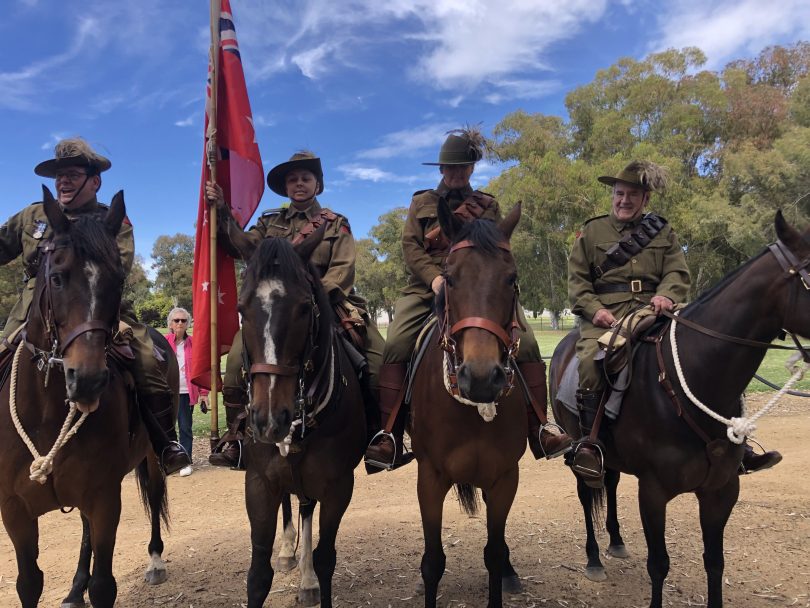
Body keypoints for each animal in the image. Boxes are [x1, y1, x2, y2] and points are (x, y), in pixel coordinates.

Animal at [0, 190, 170, 608]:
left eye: (119, 279)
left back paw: (155, 560)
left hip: (152, 459)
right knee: (85, 531)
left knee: (154, 495)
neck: (45, 413)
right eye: (57, 278)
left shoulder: (105, 497)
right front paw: (76, 585)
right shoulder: (14, 510)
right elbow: (29, 583)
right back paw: (76, 586)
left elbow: (104, 585)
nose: (88, 380)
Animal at [229, 229, 364, 608]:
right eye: (241, 309)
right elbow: (258, 574)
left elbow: (325, 557)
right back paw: (290, 551)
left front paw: (313, 576)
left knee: (305, 508)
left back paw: (306, 578)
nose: (269, 419)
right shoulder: (259, 482)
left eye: (305, 308)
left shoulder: (338, 486)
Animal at [410, 201, 524, 608]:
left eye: (511, 278)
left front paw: (503, 573)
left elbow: (494, 552)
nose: (480, 377)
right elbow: (432, 561)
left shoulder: (505, 477)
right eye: (450, 278)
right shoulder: (429, 478)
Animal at [548, 210, 808, 608]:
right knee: (586, 492)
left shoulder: (722, 490)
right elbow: (659, 564)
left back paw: (616, 541)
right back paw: (593, 558)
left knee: (611, 481)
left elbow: (714, 561)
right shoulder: (653, 493)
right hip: (580, 452)